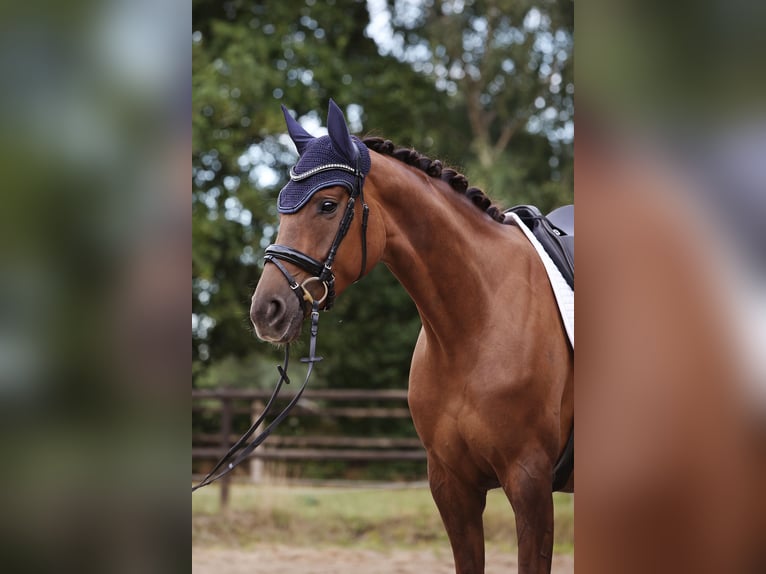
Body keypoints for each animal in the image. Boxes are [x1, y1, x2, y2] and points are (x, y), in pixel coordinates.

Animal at [250, 100, 574, 574]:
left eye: (327, 205)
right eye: (281, 210)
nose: (266, 310)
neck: (476, 325)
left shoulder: (530, 483)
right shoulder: (451, 486)